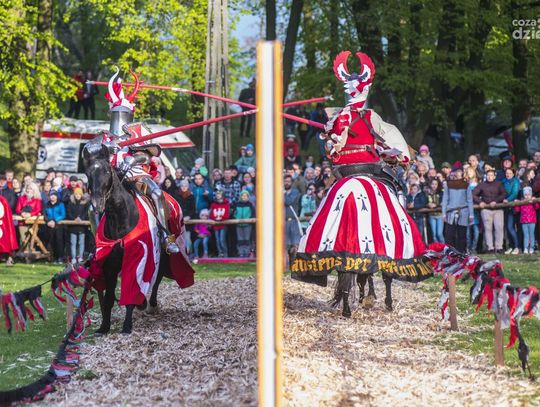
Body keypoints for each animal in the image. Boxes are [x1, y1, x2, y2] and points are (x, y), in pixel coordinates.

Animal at [85, 150, 169, 334]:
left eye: (107, 171)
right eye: (88, 174)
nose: (97, 204)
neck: (121, 218)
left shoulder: (137, 260)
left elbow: (131, 291)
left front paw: (127, 326)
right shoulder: (110, 266)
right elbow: (109, 298)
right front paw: (104, 326)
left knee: (158, 277)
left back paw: (151, 304)